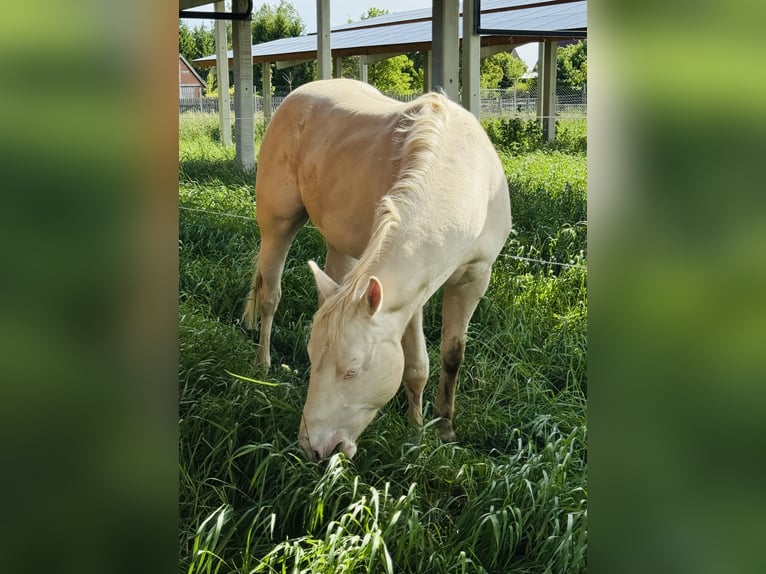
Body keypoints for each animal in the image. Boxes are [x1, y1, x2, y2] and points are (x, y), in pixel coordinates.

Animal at [242, 79, 511, 460]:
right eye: (311, 357)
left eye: (352, 372)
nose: (314, 447)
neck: (462, 176)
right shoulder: (411, 299)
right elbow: (416, 367)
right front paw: (416, 431)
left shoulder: (474, 279)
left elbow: (452, 356)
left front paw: (444, 428)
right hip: (278, 224)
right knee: (269, 295)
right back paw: (262, 364)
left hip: (341, 247)